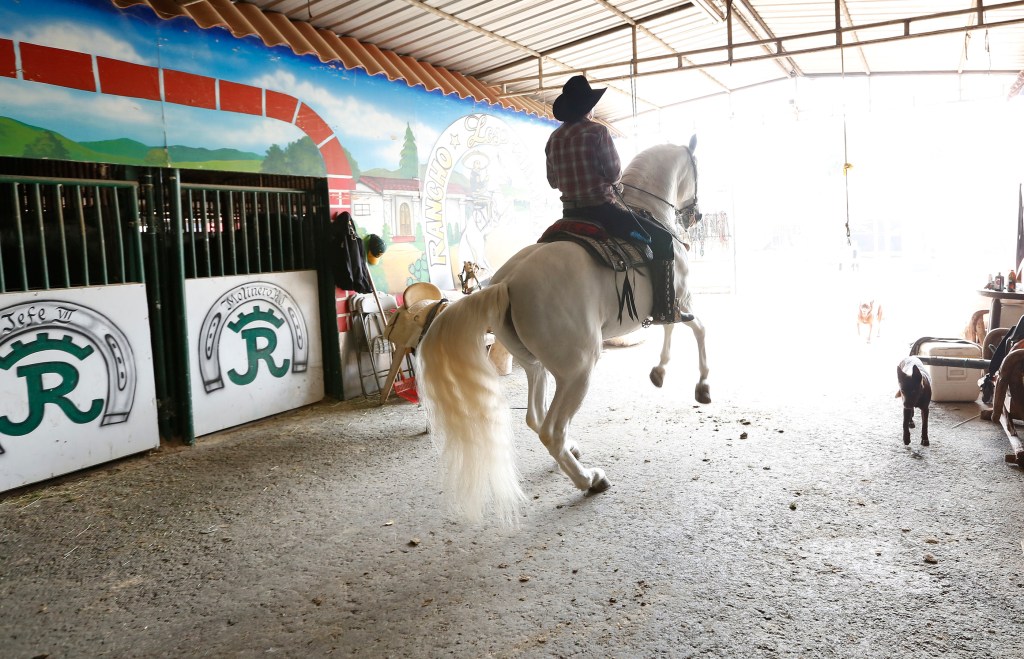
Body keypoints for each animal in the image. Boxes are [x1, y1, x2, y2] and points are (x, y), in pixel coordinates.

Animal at [419, 139, 708, 523]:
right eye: (695, 169)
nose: (696, 215)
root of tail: (508, 282)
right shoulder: (682, 302)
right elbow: (699, 331)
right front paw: (702, 386)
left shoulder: (671, 310)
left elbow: (671, 334)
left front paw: (659, 372)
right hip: (578, 371)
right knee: (551, 430)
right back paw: (590, 480)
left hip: (536, 366)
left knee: (535, 417)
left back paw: (573, 452)